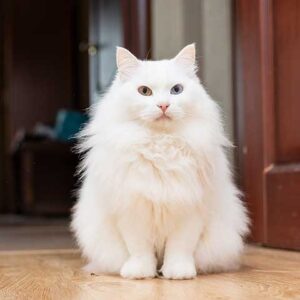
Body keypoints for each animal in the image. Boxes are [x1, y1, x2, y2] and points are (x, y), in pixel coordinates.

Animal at [71, 44, 250, 278]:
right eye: (144, 91)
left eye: (176, 90)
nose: (163, 105)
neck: (160, 145)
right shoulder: (132, 211)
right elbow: (139, 249)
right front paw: (139, 273)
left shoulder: (189, 212)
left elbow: (180, 248)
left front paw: (178, 273)